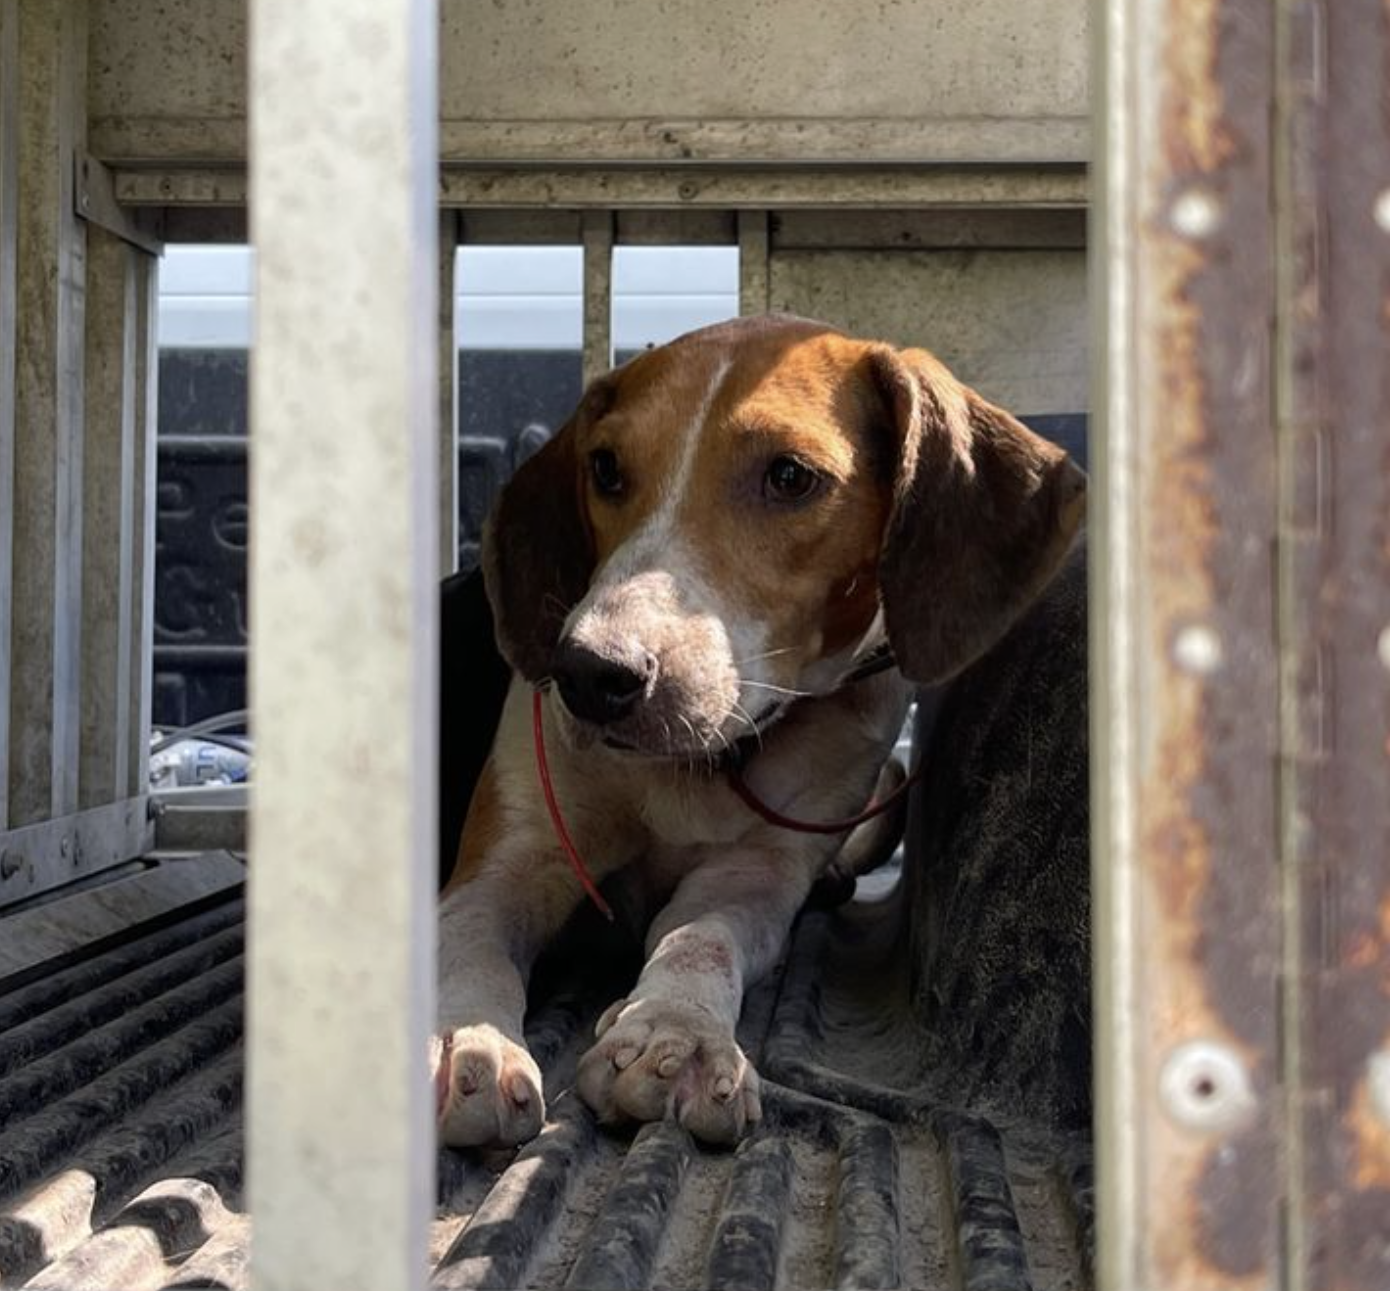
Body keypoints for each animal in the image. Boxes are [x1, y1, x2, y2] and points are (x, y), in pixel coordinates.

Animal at [433, 312, 1084, 1150]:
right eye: (605, 467)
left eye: (791, 477)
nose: (588, 673)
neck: (700, 766)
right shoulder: (509, 861)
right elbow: (468, 943)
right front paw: (462, 1039)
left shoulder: (758, 874)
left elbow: (700, 935)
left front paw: (674, 1032)